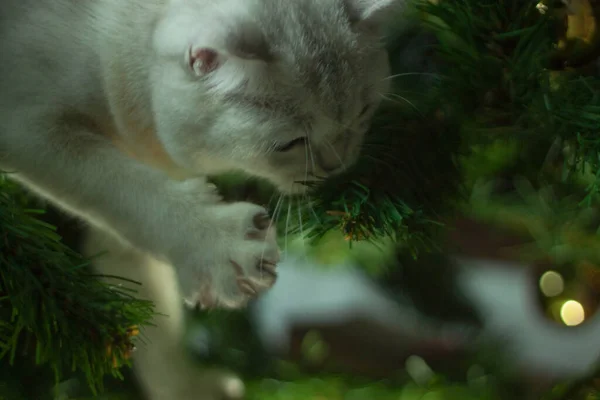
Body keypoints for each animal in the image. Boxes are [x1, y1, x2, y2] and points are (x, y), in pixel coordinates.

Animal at [0, 1, 404, 398]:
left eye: (364, 112)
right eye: (291, 143)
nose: (338, 165)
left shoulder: (120, 241)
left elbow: (147, 316)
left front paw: (187, 388)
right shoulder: (27, 124)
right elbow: (117, 185)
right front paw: (219, 246)